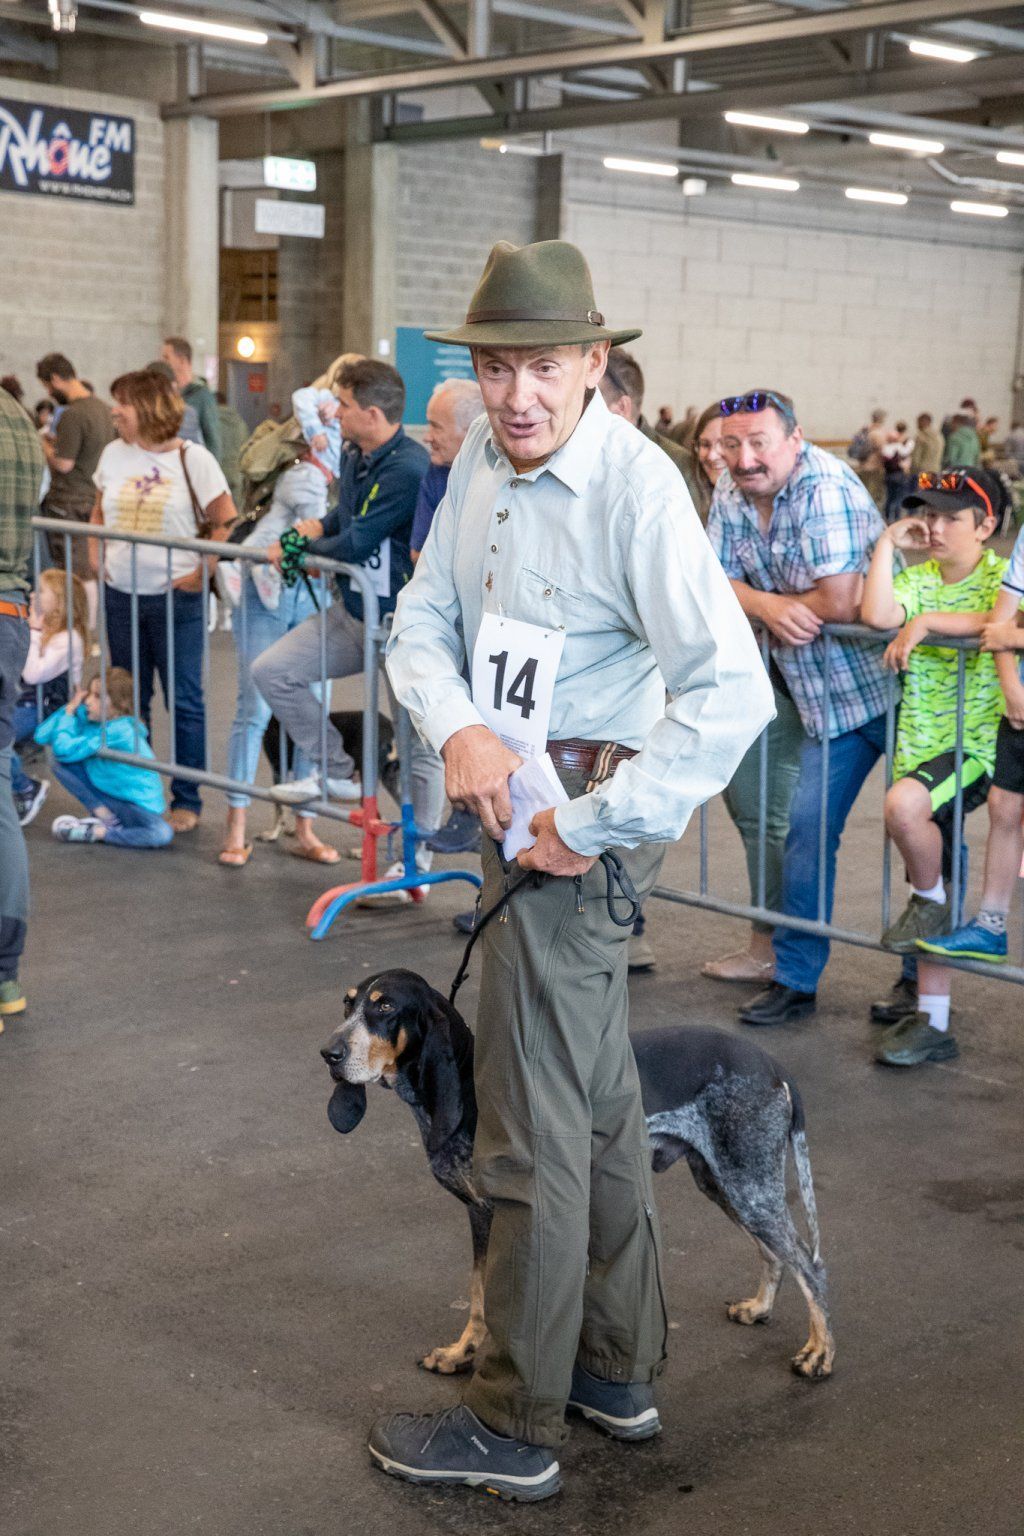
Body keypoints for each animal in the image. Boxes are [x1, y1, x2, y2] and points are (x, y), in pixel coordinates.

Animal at [323, 970, 835, 1382]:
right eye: (349, 1003)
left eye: (385, 1006)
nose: (329, 1052)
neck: (466, 1085)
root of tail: (773, 1066)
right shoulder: (480, 1215)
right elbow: (478, 1295)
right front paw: (459, 1353)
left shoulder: (508, 1214)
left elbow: (491, 1298)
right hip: (725, 1181)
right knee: (775, 1253)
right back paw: (761, 1308)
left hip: (748, 1184)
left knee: (810, 1264)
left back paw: (819, 1353)